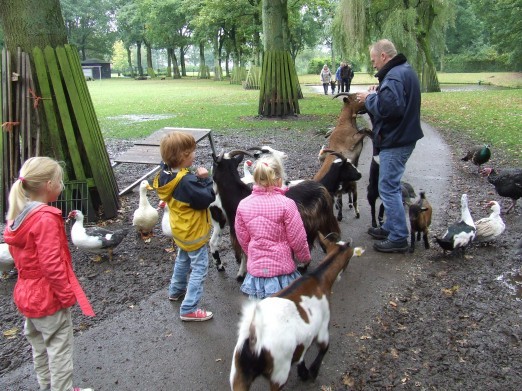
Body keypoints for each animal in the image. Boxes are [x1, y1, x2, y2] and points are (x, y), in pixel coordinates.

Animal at [230, 234, 364, 390]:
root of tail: (253, 339)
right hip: (279, 372)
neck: (318, 279)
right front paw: (312, 372)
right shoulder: (323, 326)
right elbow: (324, 348)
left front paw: (303, 372)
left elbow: (301, 355)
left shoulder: (304, 337)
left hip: (238, 375)